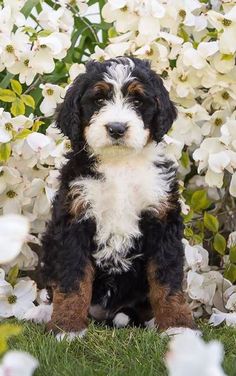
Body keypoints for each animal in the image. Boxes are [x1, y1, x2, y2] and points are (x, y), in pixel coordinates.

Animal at [41, 56, 195, 340]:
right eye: (99, 99)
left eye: (137, 101)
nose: (116, 128)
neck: (120, 164)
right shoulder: (74, 219)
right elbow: (72, 280)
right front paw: (67, 327)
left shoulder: (162, 219)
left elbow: (167, 280)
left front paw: (178, 326)